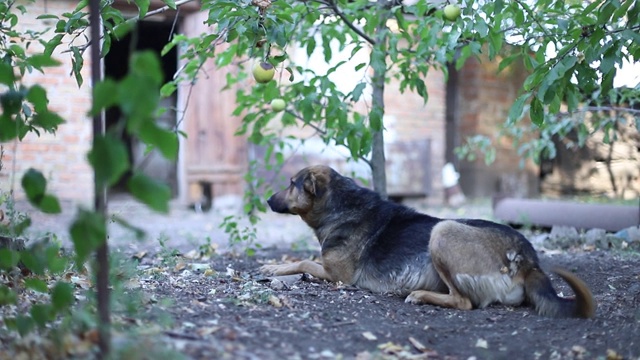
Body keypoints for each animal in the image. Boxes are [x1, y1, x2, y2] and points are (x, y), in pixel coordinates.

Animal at [258, 165, 596, 318]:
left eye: (292, 184)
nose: (267, 200)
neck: (342, 207)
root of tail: (527, 257)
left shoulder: (338, 275)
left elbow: (303, 260)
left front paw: (274, 268)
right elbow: (300, 259)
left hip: (443, 231)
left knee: (464, 302)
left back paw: (420, 295)